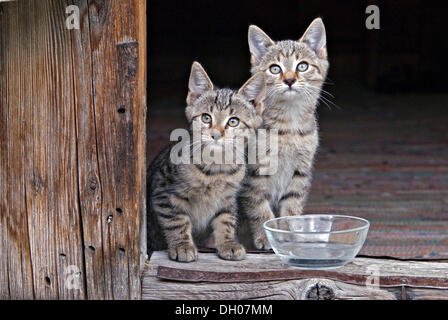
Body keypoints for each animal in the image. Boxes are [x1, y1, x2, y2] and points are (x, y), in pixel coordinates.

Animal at [147, 61, 266, 262]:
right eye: (206, 118)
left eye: (233, 121)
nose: (216, 134)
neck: (216, 168)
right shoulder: (162, 191)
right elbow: (176, 220)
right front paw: (182, 246)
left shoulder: (227, 199)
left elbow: (226, 220)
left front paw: (228, 243)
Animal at [238, 18, 328, 250]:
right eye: (274, 68)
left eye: (302, 66)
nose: (289, 80)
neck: (289, 126)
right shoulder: (253, 174)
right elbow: (259, 207)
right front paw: (264, 236)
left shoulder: (300, 171)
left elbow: (292, 207)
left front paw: (289, 235)